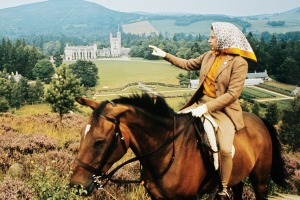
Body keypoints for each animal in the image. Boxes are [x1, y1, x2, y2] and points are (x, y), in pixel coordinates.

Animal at [70, 93, 288, 199]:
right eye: (81, 135)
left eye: (99, 141)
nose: (76, 186)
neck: (167, 152)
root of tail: (260, 121)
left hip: (260, 180)